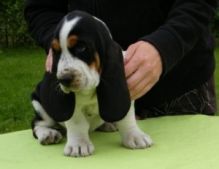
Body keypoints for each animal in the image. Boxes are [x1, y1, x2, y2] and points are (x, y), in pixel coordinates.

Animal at [31, 10, 152, 157]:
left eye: (81, 47)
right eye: (55, 51)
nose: (63, 79)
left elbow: (127, 118)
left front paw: (135, 136)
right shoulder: (73, 108)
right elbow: (77, 122)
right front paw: (78, 145)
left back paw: (108, 124)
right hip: (39, 105)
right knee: (37, 123)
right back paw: (48, 134)